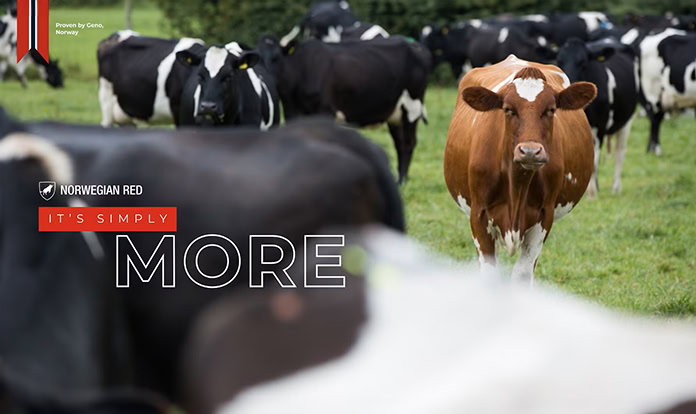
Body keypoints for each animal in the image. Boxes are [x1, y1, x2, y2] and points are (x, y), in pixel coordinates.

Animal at [268, 37, 431, 183]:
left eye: (275, 58)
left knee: (408, 143)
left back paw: (402, 180)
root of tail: (416, 45)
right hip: (395, 114)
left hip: (411, 108)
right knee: (399, 142)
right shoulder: (291, 114)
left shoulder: (325, 112)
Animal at [444, 55, 596, 282]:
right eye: (508, 109)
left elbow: (522, 273)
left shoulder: (544, 216)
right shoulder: (478, 215)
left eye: (551, 110)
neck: (517, 183)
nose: (530, 151)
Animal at [557, 38, 638, 196]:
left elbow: (593, 163)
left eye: (583, 63)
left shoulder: (600, 128)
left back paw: (615, 188)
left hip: (627, 121)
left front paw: (591, 194)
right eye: (559, 61)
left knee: (619, 153)